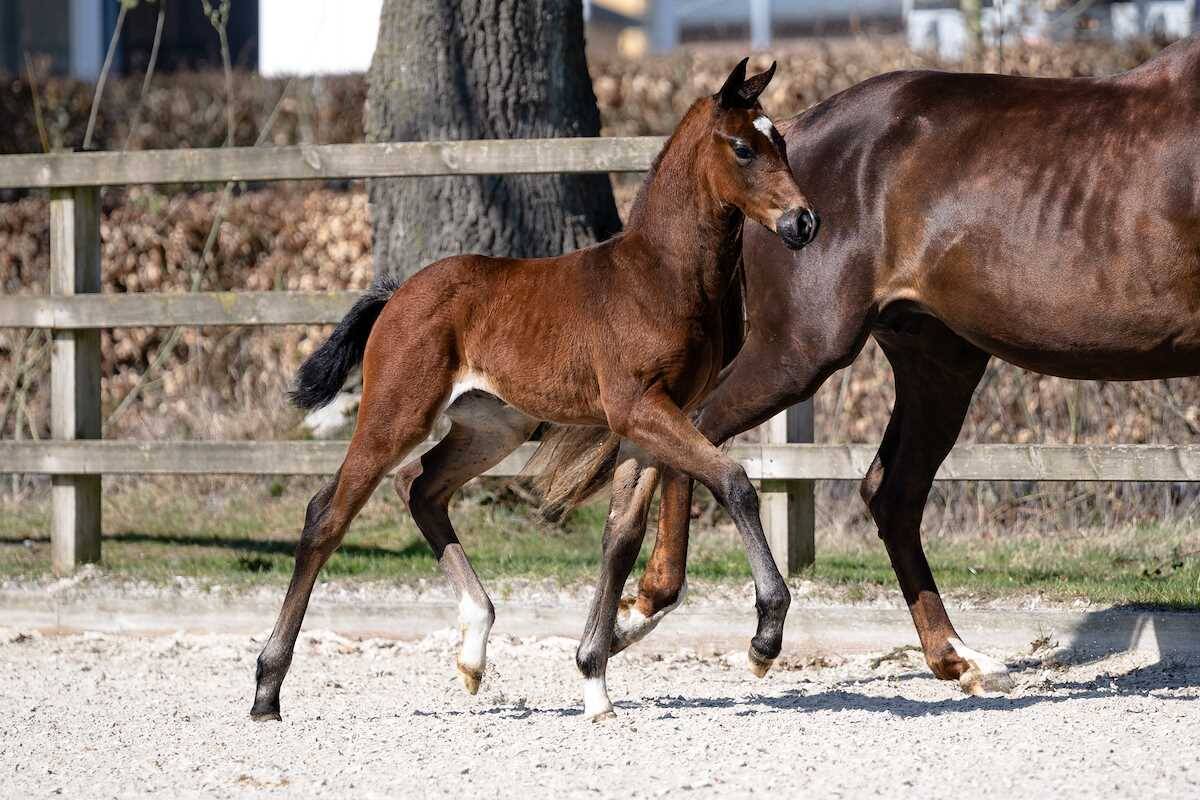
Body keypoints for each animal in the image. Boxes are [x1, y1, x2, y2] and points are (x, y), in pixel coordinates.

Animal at [250, 59, 820, 722]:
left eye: (782, 143)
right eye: (742, 147)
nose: (803, 222)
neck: (660, 275)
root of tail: (396, 293)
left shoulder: (652, 422)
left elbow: (621, 536)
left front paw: (594, 680)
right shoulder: (639, 408)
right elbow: (734, 482)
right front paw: (765, 637)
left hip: (493, 427)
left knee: (420, 488)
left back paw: (474, 649)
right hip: (397, 413)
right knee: (329, 513)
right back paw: (266, 689)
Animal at [538, 36, 1200, 697]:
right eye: (745, 148)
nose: (802, 223)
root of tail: (805, 132)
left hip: (939, 361)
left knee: (890, 492)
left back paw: (956, 657)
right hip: (804, 350)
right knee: (703, 430)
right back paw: (672, 612)